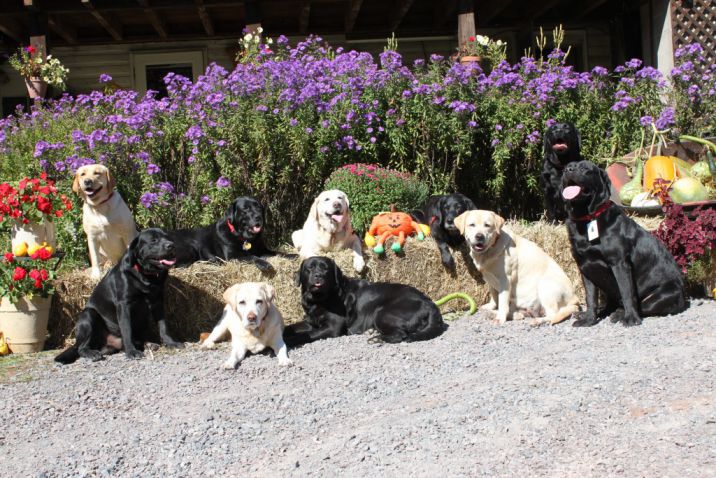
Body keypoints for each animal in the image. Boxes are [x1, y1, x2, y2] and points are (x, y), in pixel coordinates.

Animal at [56, 230, 185, 364]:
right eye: (153, 240)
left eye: (167, 237)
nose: (171, 245)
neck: (145, 275)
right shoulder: (124, 305)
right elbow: (126, 330)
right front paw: (131, 352)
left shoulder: (158, 302)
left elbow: (163, 326)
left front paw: (171, 343)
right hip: (88, 314)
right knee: (81, 348)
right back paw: (92, 353)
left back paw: (148, 344)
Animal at [284, 256, 442, 346]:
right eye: (309, 268)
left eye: (326, 269)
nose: (318, 275)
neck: (318, 300)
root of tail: (429, 302)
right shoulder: (310, 321)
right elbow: (290, 327)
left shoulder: (333, 327)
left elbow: (308, 335)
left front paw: (289, 341)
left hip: (382, 312)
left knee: (401, 334)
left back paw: (377, 339)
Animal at [560, 162, 688, 326]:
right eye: (568, 167)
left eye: (585, 169)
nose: (567, 170)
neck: (587, 219)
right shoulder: (585, 267)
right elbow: (590, 298)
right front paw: (589, 319)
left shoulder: (620, 263)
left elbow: (627, 292)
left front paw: (631, 319)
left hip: (660, 296)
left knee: (641, 306)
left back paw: (620, 314)